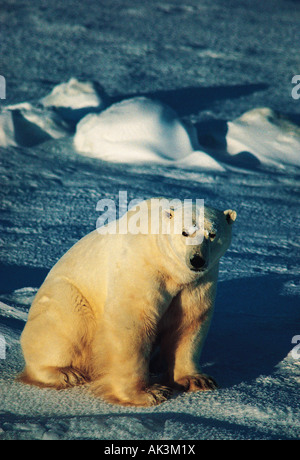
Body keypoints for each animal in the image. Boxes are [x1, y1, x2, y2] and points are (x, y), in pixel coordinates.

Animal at [19, 198, 238, 406]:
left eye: (212, 234)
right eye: (185, 232)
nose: (197, 260)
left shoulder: (198, 282)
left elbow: (189, 323)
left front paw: (197, 380)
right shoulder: (142, 268)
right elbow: (133, 322)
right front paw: (148, 393)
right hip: (66, 297)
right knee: (66, 325)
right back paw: (64, 373)